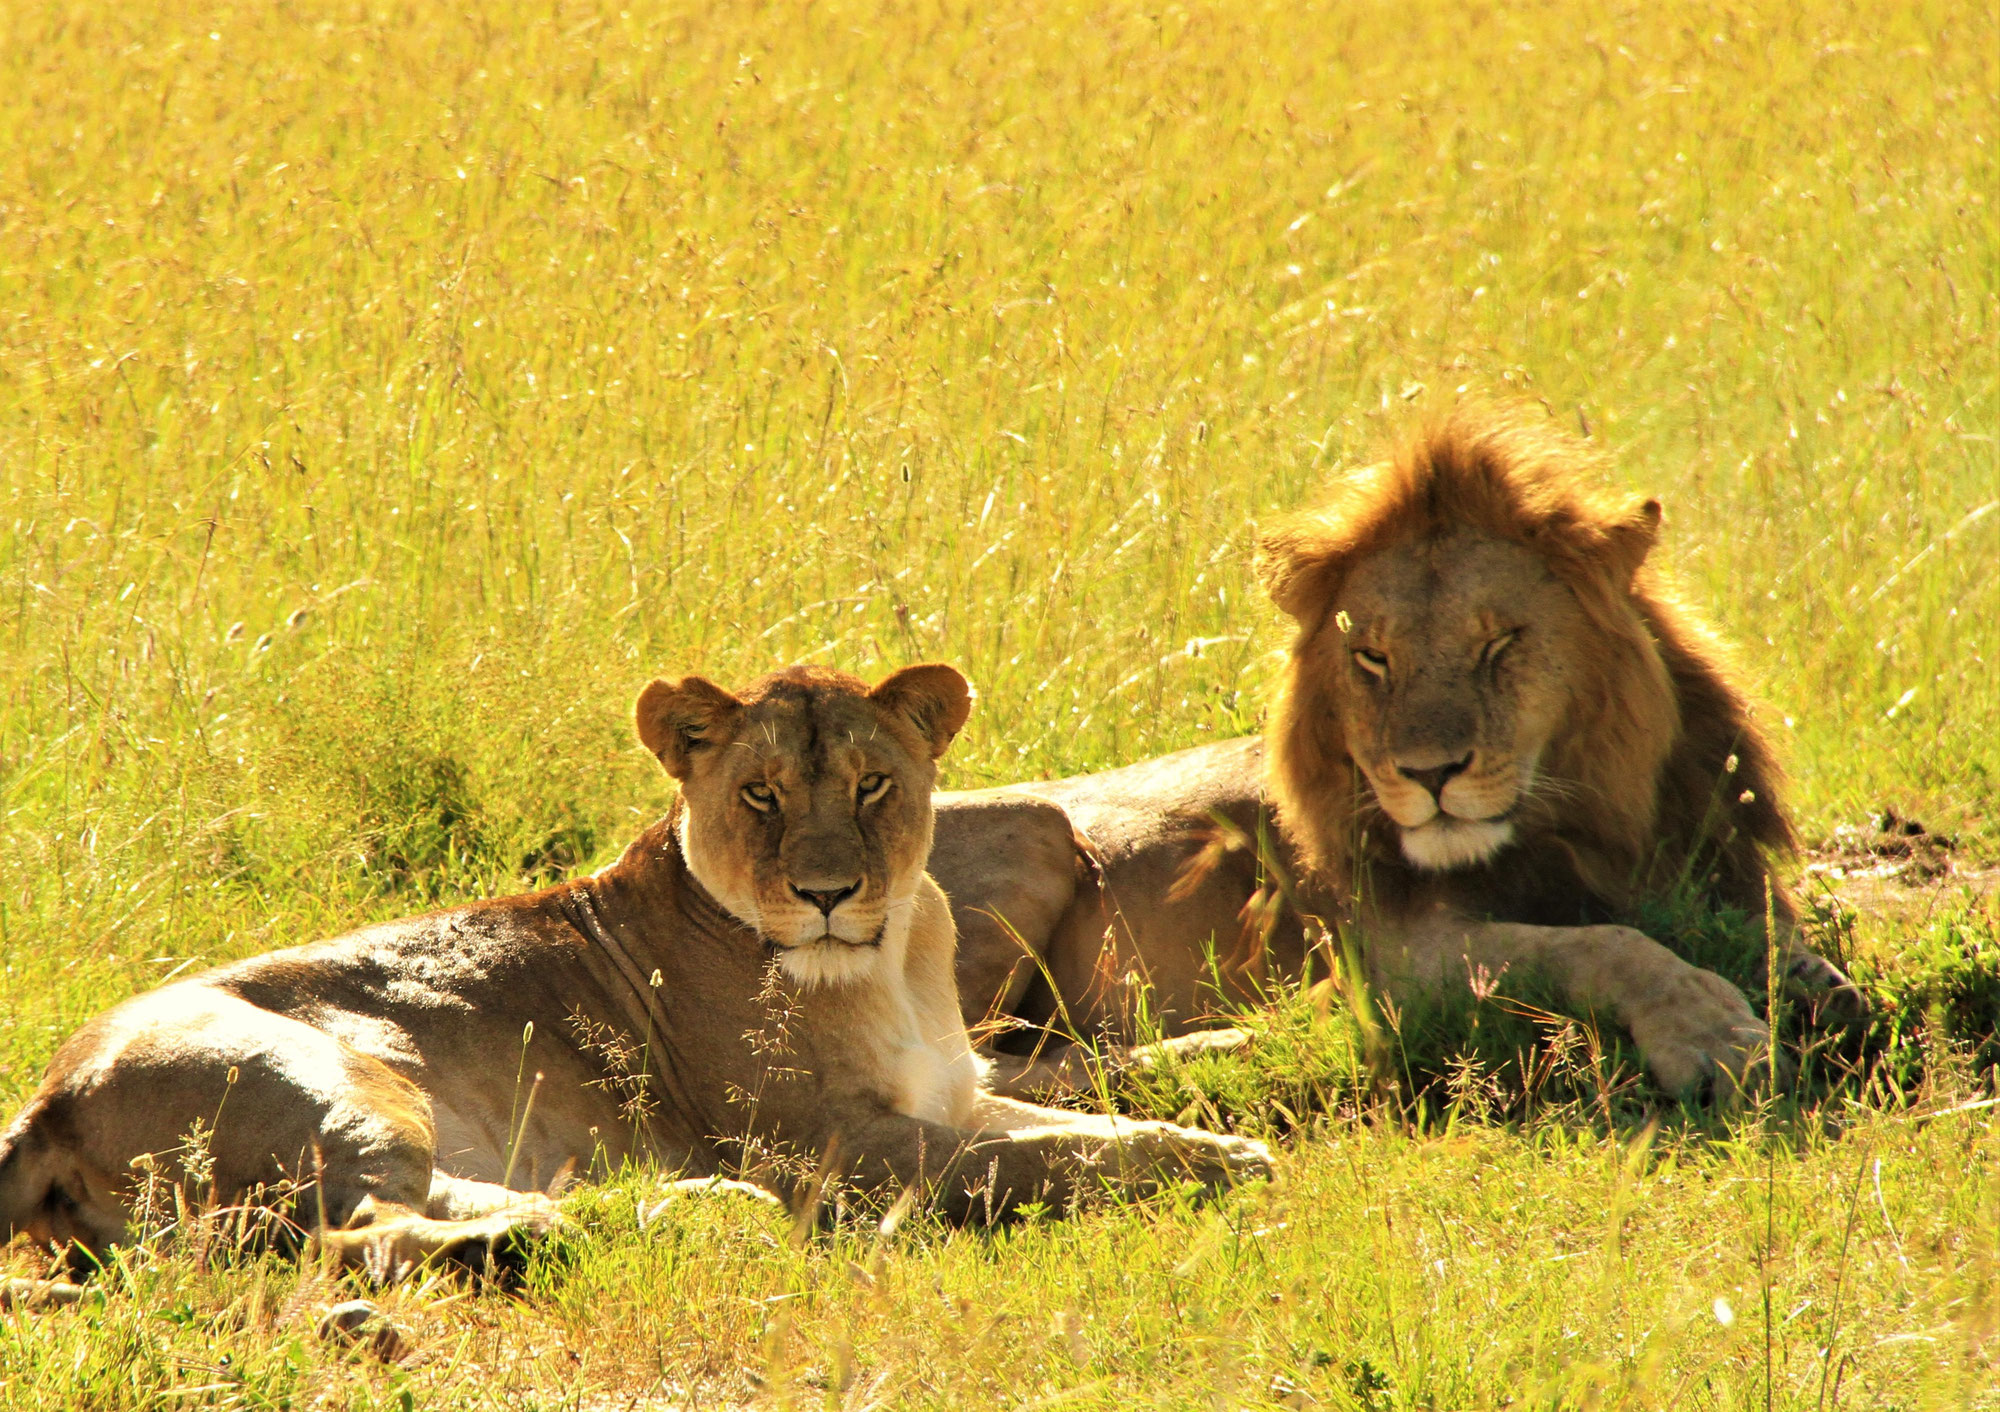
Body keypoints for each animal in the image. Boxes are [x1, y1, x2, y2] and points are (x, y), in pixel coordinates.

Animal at [3, 660, 1264, 1288]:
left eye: (870, 784)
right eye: (759, 793)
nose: (824, 891)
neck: (892, 955)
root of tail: (46, 1093)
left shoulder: (950, 1087)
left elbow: (1084, 1107)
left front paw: (1222, 1106)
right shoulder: (829, 1149)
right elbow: (1043, 1157)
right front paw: (1224, 1161)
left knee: (434, 1204)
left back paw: (675, 1210)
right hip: (345, 1078)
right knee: (359, 1238)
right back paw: (661, 1221)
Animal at [932, 412, 1856, 1096]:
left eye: (1498, 643)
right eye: (1372, 657)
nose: (1428, 774)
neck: (1590, 823)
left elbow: (1784, 945)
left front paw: (1817, 991)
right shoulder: (1396, 952)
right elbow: (1603, 944)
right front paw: (1710, 1033)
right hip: (1038, 828)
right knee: (983, 1068)